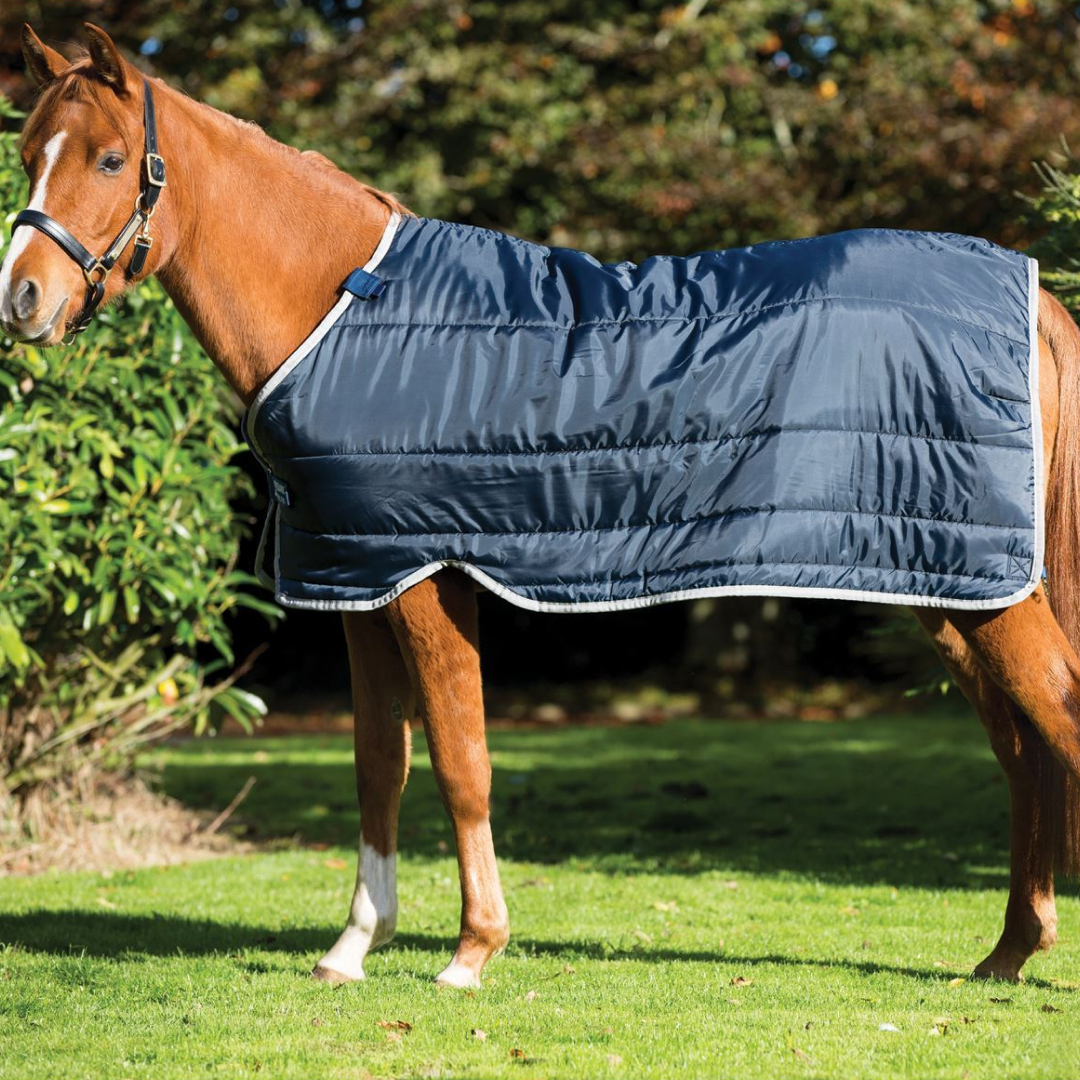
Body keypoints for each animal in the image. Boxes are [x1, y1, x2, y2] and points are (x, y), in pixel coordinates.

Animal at [3, 23, 1080, 991]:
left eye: (108, 158)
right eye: (26, 154)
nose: (22, 300)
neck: (342, 306)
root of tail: (1029, 294)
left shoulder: (425, 575)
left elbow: (461, 758)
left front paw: (472, 952)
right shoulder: (355, 581)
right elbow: (378, 763)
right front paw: (353, 947)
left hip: (986, 593)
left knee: (1056, 719)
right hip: (950, 590)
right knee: (1023, 749)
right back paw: (1007, 953)